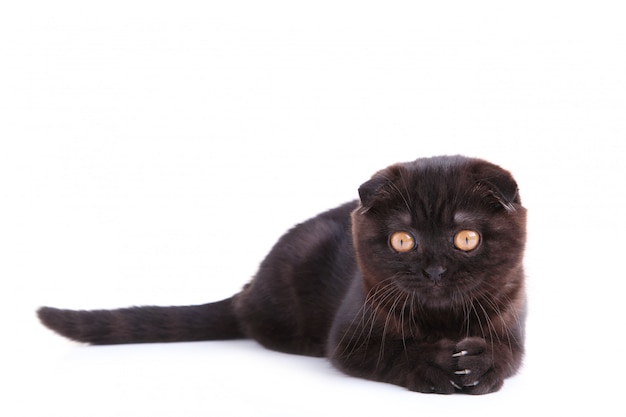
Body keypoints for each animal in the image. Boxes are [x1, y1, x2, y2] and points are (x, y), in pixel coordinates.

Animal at [39, 155, 524, 394]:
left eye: (466, 238)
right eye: (403, 240)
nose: (434, 270)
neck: (442, 321)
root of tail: (250, 285)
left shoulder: (513, 324)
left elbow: (507, 356)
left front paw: (478, 363)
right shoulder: (349, 339)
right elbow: (394, 352)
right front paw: (436, 363)